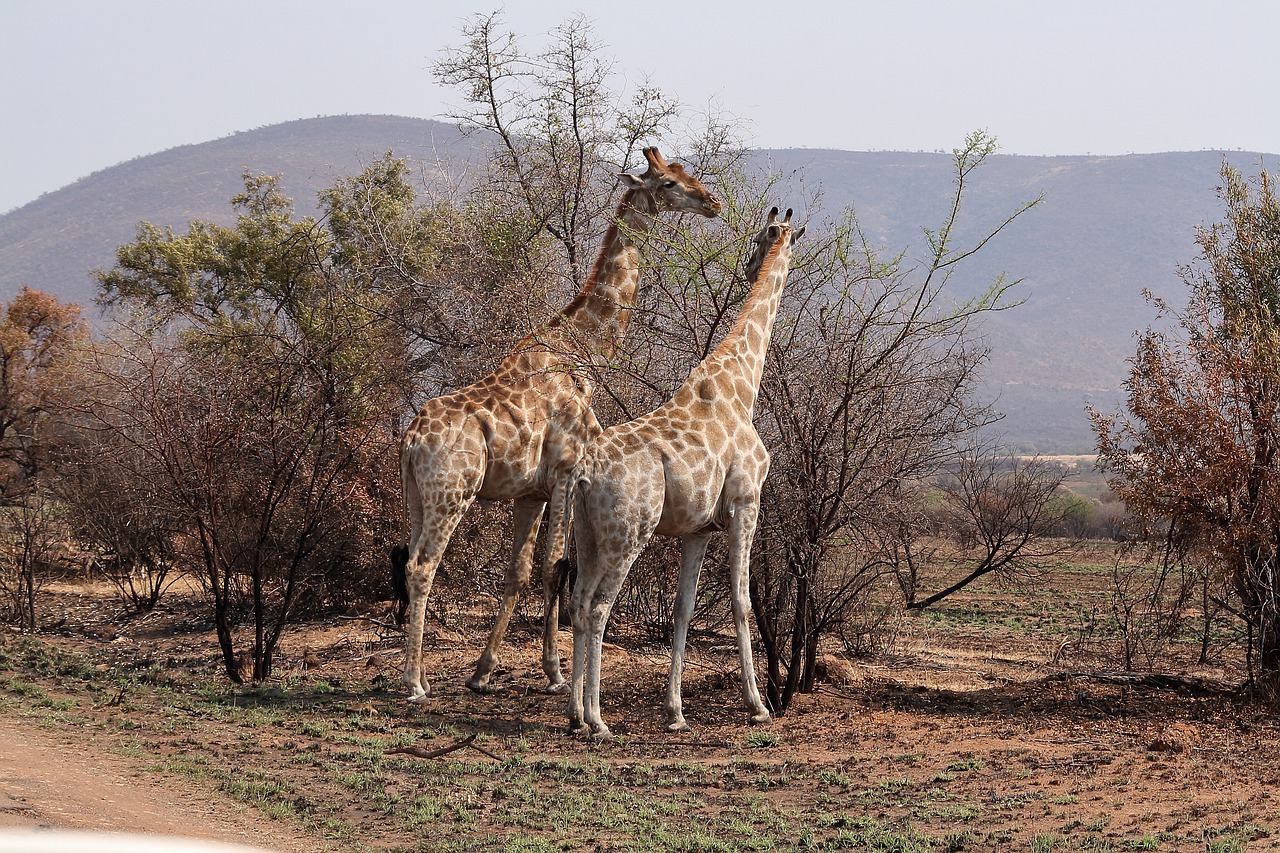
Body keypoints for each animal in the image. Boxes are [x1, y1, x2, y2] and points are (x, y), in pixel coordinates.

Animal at [398, 147, 721, 703]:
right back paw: (415, 682)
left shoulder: (531, 491)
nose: (712, 203)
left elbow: (520, 571)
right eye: (667, 182)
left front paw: (483, 671)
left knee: (408, 562)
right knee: (423, 566)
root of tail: (412, 438)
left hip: (417, 496)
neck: (585, 349)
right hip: (452, 493)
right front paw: (552, 672)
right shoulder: (569, 472)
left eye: (685, 174)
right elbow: (556, 568)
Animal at [568, 207, 804, 739]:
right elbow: (741, 601)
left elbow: (683, 609)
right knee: (599, 607)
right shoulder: (745, 504)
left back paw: (573, 716)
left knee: (578, 601)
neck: (742, 385)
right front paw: (757, 706)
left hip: (588, 533)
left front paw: (675, 711)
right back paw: (598, 719)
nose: (749, 267)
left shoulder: (698, 529)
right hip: (629, 533)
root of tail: (585, 474)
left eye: (759, 240)